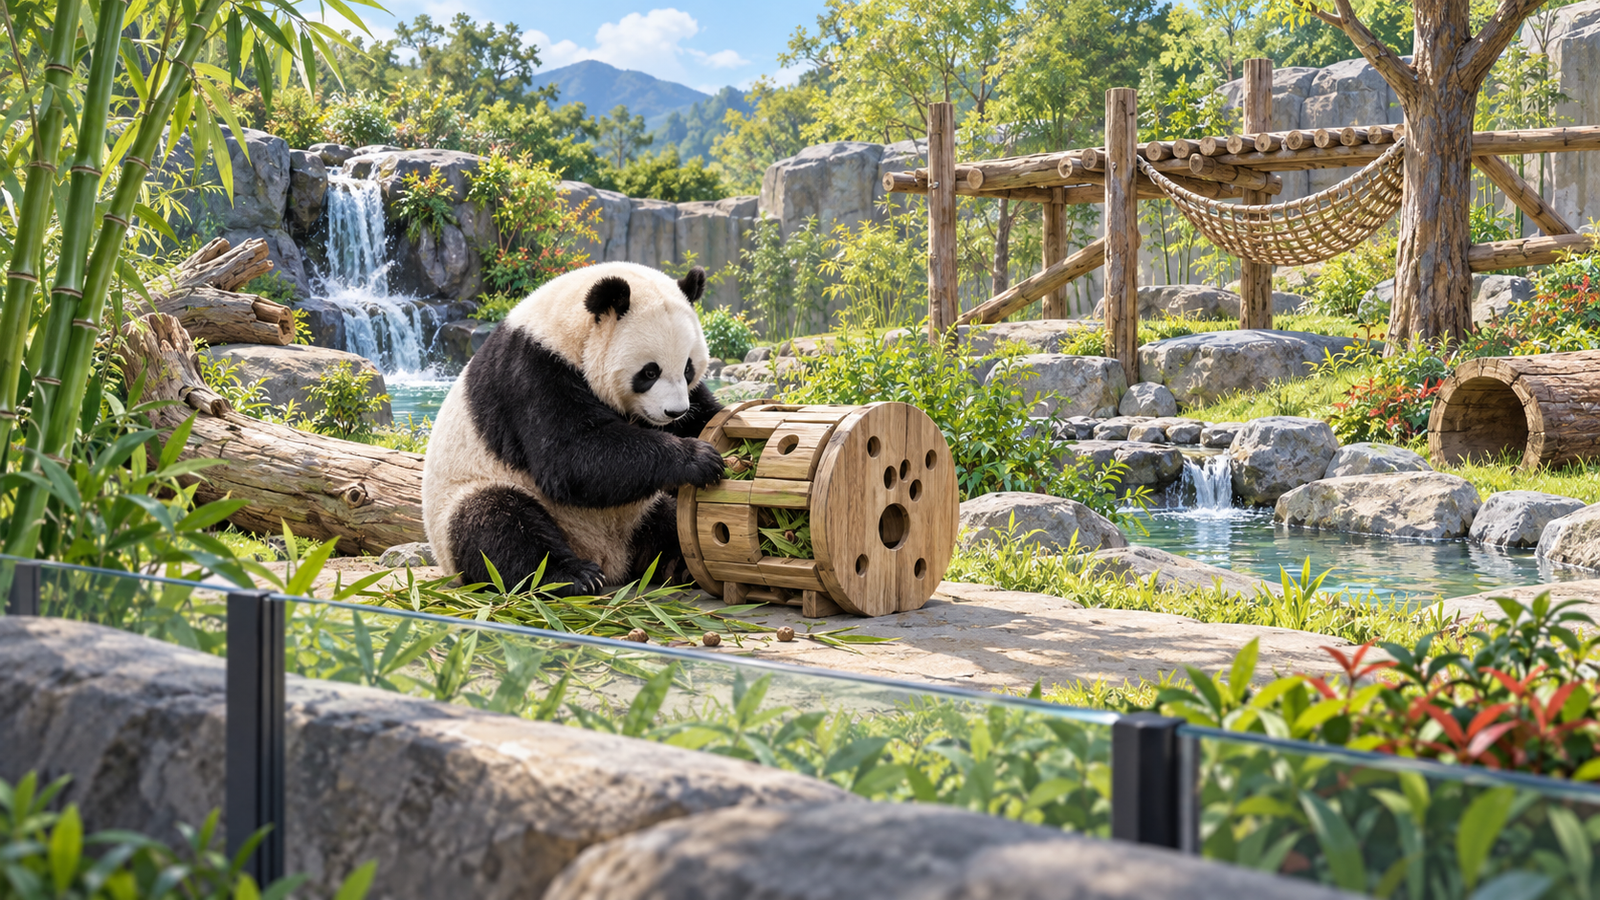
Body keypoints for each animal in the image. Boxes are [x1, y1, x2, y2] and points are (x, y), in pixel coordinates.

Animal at [421, 261, 726, 594]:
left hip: (640, 511)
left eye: (688, 368)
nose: (675, 412)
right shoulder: (531, 374)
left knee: (669, 524)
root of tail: (611, 557)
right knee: (497, 526)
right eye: (649, 372)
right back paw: (572, 576)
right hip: (462, 504)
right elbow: (570, 458)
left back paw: (678, 564)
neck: (565, 331)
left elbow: (704, 415)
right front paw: (697, 458)